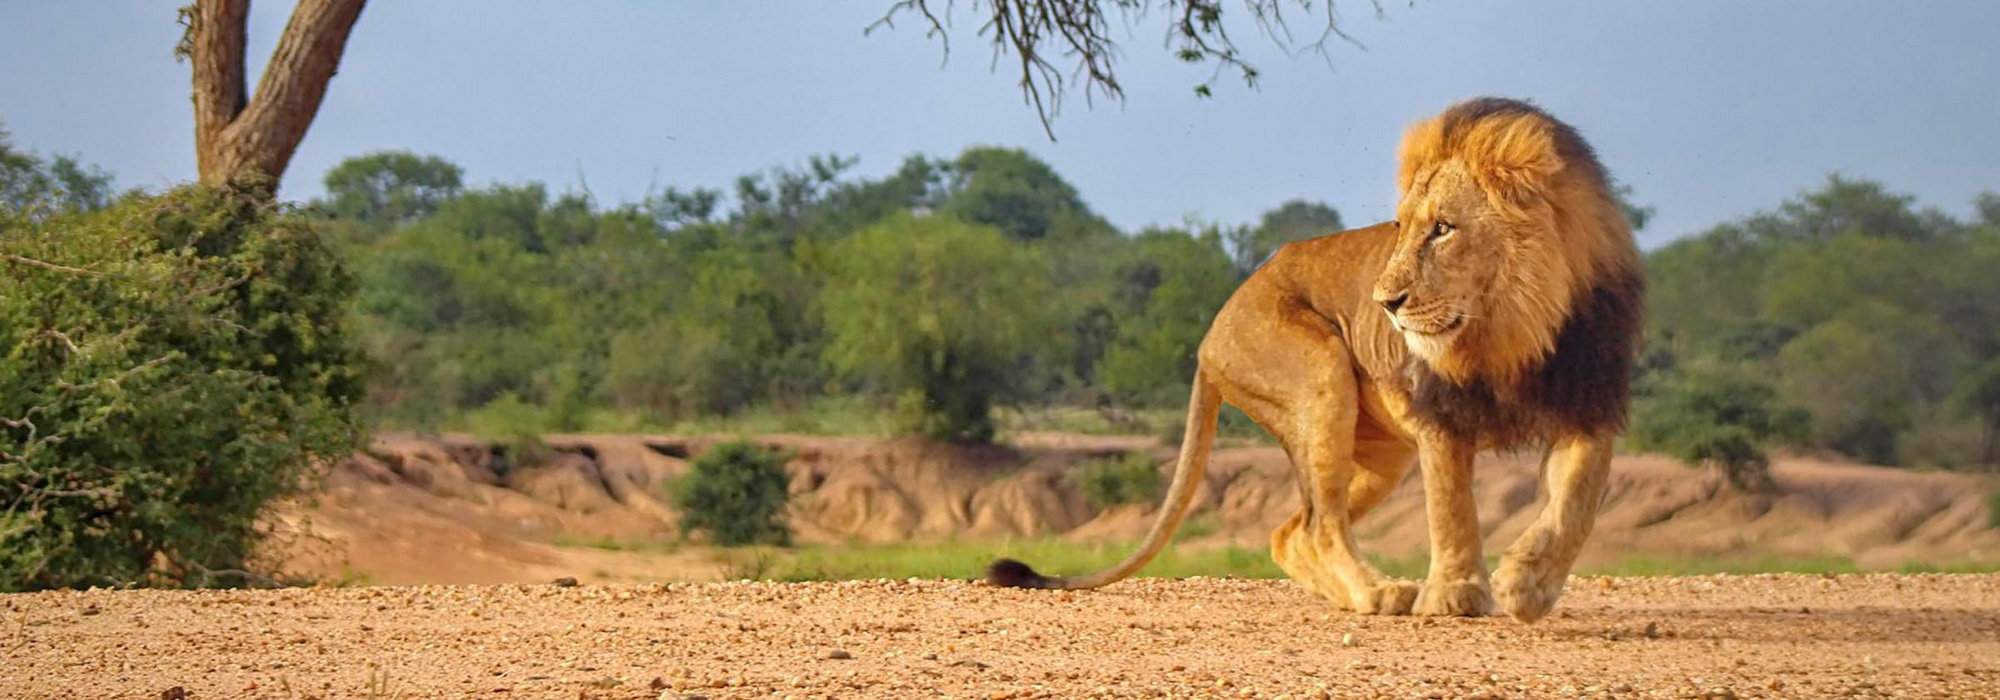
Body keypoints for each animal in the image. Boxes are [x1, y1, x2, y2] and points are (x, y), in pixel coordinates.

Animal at [992, 95, 1648, 620]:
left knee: (1291, 533)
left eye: (1443, 228)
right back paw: (1380, 593)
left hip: (1381, 455)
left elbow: (1575, 505)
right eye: (1401, 227)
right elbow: (1452, 509)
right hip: (1320, 374)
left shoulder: (1590, 404)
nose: (1386, 303)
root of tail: (1209, 336)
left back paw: (1361, 594)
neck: (1513, 329)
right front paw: (1458, 594)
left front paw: (1528, 586)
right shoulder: (1439, 416)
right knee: (1320, 524)